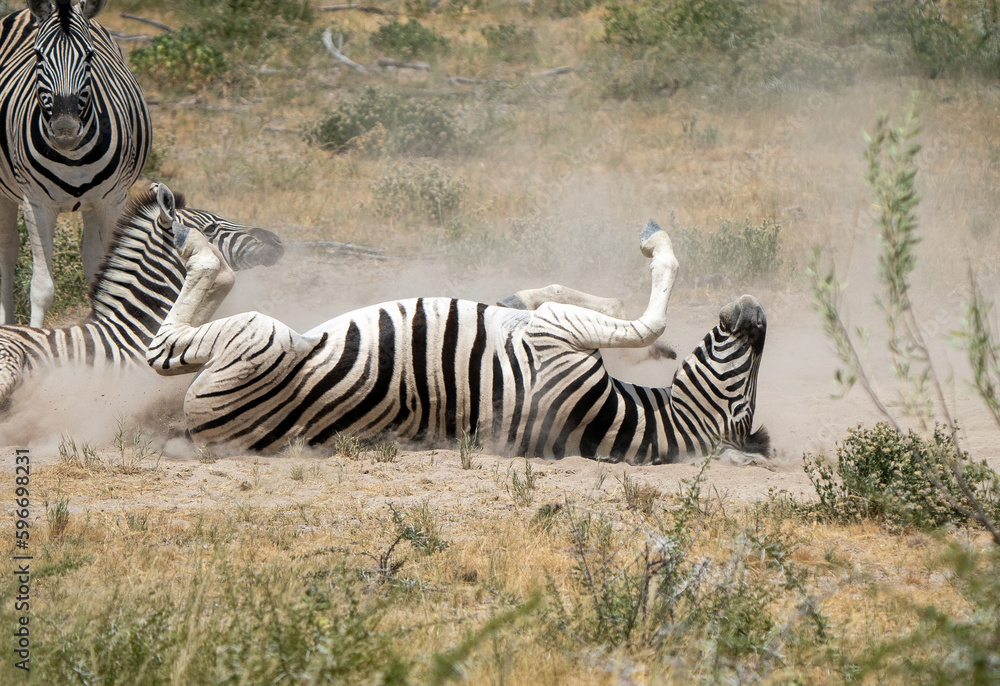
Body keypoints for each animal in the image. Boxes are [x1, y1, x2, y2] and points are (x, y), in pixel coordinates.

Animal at [0, 0, 152, 326]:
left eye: (90, 55)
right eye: (38, 55)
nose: (65, 130)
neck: (71, 157)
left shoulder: (113, 200)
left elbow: (110, 274)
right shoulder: (36, 204)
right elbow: (41, 288)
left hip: (94, 203)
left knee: (91, 258)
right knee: (7, 249)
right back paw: (6, 323)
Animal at [146, 218, 768, 462]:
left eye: (741, 390)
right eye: (748, 374)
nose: (758, 313)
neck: (613, 415)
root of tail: (202, 436)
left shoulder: (554, 336)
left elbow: (647, 316)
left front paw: (653, 245)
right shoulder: (554, 328)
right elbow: (598, 309)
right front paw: (515, 297)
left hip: (257, 338)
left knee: (169, 341)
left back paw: (188, 237)